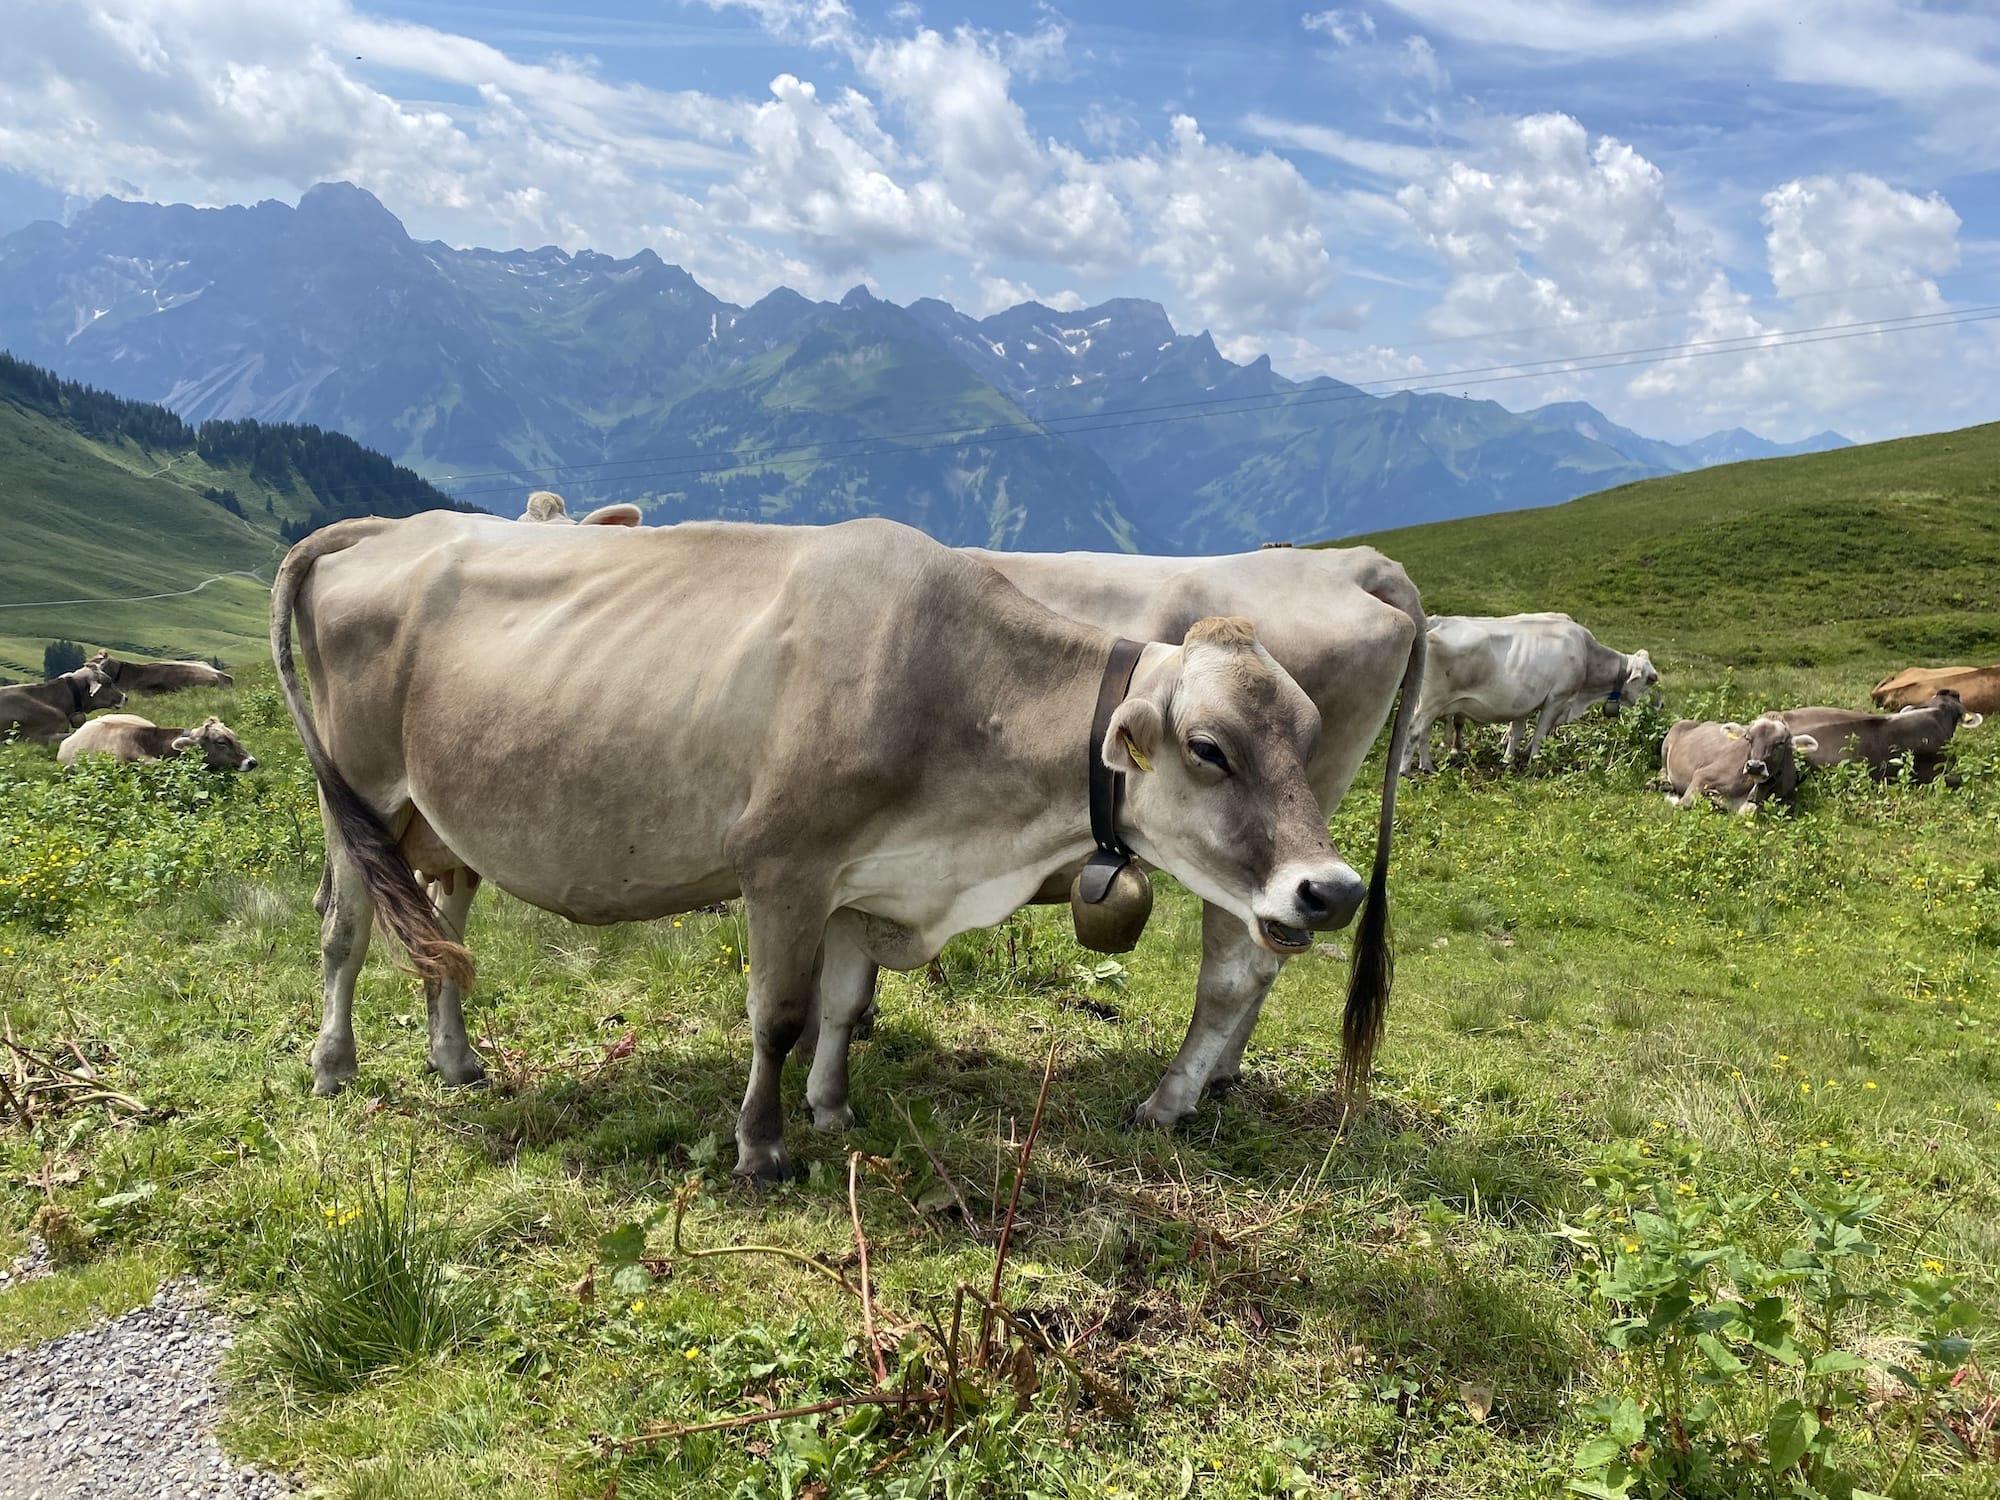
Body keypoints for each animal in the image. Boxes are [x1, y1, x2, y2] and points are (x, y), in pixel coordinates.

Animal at [273, 513, 1367, 1180]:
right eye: (1210, 749)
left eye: (1309, 735)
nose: (1332, 889)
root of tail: (392, 526)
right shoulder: (783, 866)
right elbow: (781, 1015)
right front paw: (761, 1148)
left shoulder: (863, 879)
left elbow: (840, 1008)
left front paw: (833, 1110)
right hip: (356, 794)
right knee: (343, 931)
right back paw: (333, 1066)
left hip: (434, 814)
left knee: (438, 929)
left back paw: (455, 1059)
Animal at [1403, 613, 1658, 774]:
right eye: (1650, 679)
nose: (1660, 706)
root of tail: (1434, 624)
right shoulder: (1556, 699)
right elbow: (1539, 734)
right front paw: (1534, 760)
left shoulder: (1522, 701)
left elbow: (1517, 732)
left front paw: (1508, 759)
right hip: (1431, 701)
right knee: (1414, 730)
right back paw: (1406, 770)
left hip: (1428, 702)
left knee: (1423, 733)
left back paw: (1427, 766)